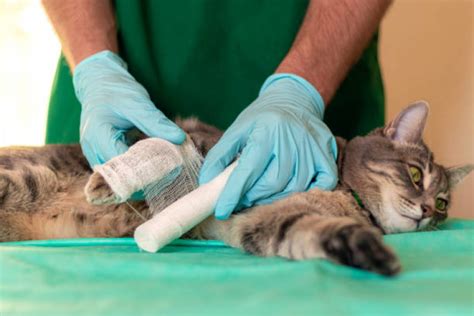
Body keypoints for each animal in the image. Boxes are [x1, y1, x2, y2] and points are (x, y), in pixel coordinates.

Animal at [1, 102, 472, 276]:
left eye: (443, 203)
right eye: (415, 175)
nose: (428, 211)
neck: (342, 192)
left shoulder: (267, 221)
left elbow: (311, 232)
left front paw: (364, 250)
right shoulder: (205, 143)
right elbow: (170, 146)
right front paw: (107, 180)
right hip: (21, 177)